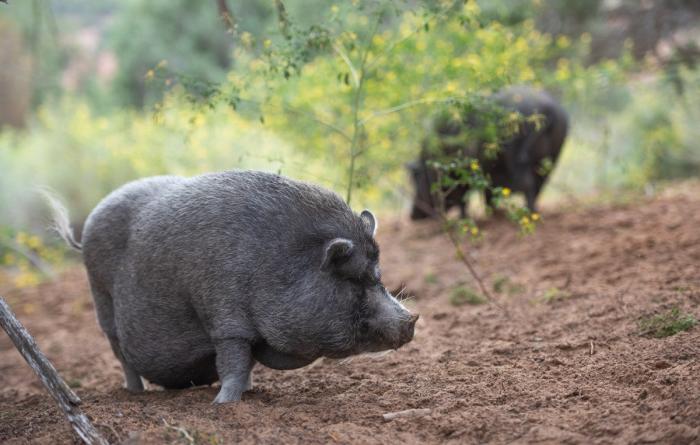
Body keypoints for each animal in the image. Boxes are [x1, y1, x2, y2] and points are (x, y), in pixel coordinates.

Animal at [46, 170, 418, 403]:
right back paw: (136, 394)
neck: (277, 263)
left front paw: (249, 394)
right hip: (102, 303)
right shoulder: (226, 321)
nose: (411, 320)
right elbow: (234, 363)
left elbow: (247, 364)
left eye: (378, 275)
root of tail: (84, 231)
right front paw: (223, 405)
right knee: (121, 354)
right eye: (353, 278)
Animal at [408, 86, 568, 219]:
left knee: (528, 183)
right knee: (540, 183)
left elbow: (463, 198)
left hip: (517, 154)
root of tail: (546, 108)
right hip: (553, 155)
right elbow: (487, 194)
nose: (413, 216)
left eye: (416, 178)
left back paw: (527, 213)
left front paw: (466, 218)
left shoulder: (462, 173)